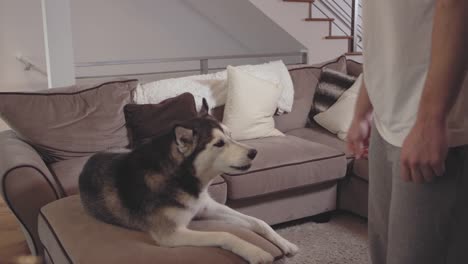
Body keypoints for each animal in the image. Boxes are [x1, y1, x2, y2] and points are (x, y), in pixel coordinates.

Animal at [78, 100, 298, 262]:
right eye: (219, 143)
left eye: (230, 135)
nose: (254, 152)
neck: (181, 178)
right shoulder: (171, 234)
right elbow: (224, 234)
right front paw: (255, 252)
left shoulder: (206, 207)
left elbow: (258, 222)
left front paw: (286, 243)